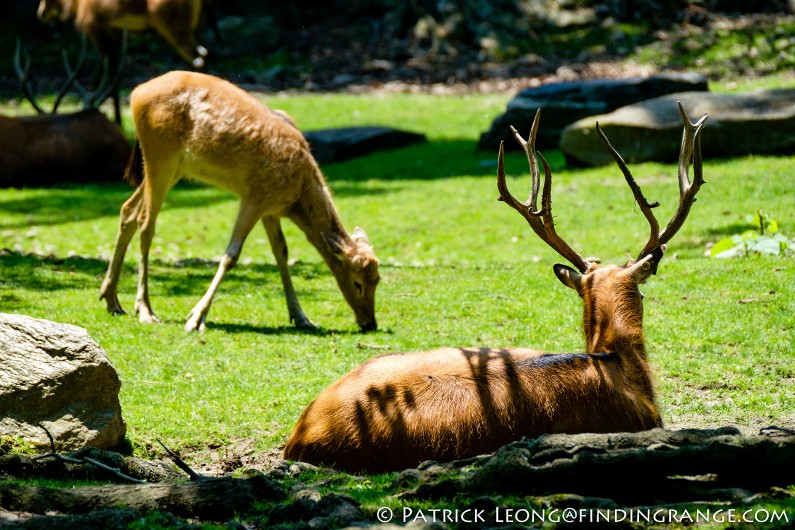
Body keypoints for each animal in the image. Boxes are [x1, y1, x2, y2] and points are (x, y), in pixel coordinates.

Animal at [98, 70, 380, 332]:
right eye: (358, 283)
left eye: (377, 279)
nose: (370, 323)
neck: (296, 196)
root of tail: (136, 93)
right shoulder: (254, 197)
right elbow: (231, 254)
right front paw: (196, 318)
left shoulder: (270, 208)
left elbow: (281, 251)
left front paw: (301, 317)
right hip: (160, 156)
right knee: (146, 222)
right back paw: (145, 310)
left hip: (174, 166)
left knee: (128, 210)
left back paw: (112, 300)